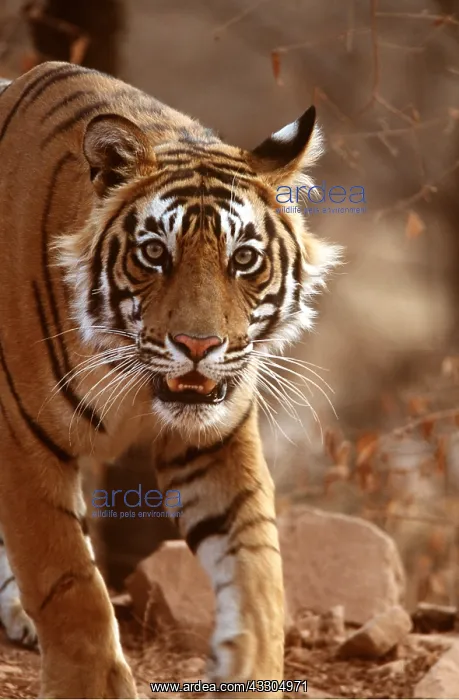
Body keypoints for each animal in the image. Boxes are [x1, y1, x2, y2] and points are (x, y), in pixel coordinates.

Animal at [0, 61, 340, 699]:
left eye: (244, 259)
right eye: (155, 253)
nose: (199, 347)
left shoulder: (215, 441)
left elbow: (258, 564)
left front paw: (248, 668)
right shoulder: (24, 440)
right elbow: (68, 579)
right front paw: (90, 686)